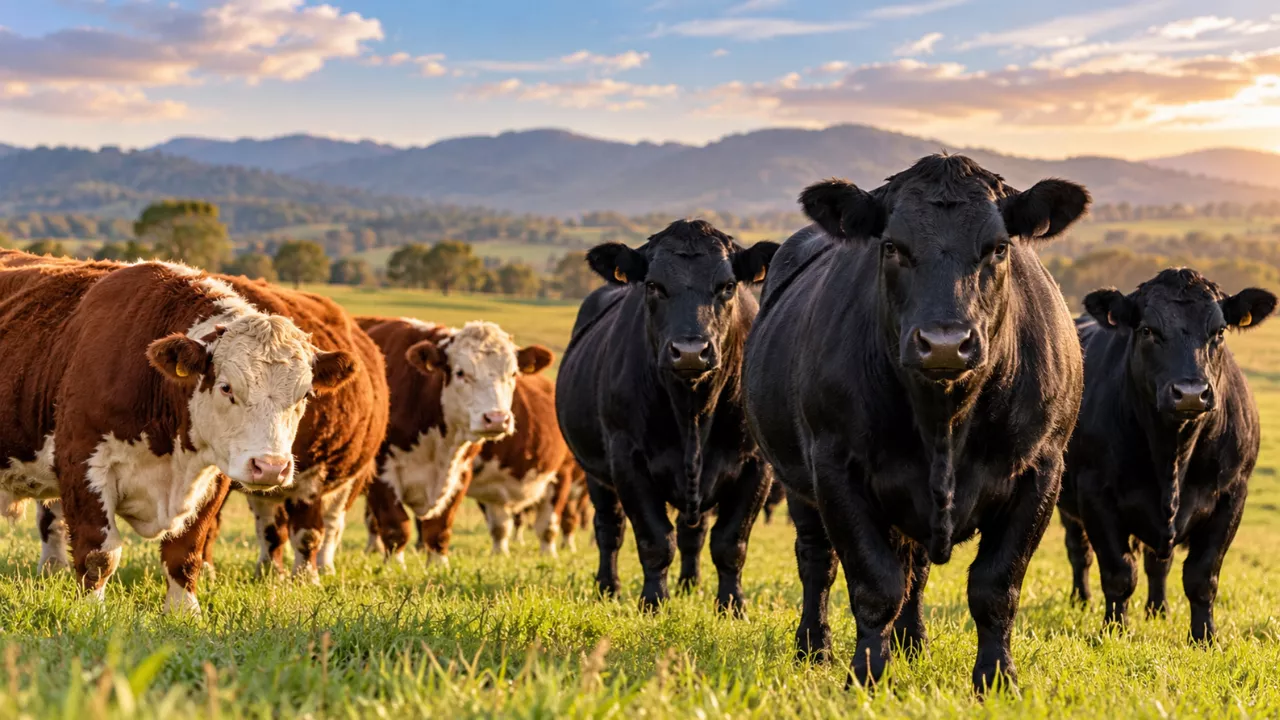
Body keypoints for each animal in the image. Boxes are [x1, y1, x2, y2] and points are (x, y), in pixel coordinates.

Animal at [0, 254, 354, 610]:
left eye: (305, 395)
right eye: (226, 387)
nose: (270, 467)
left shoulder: (212, 476)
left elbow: (186, 552)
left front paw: (184, 611)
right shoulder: (83, 463)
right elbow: (98, 553)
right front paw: (92, 610)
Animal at [359, 317, 552, 565]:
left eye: (513, 374)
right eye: (460, 372)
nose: (497, 419)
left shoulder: (460, 471)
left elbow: (439, 528)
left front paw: (438, 566)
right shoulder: (379, 471)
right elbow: (396, 527)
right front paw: (394, 566)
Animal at [555, 219, 778, 614]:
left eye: (728, 286)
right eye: (653, 285)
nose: (690, 351)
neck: (693, 411)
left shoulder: (755, 463)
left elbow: (730, 543)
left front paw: (732, 606)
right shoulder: (626, 459)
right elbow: (655, 540)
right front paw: (653, 602)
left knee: (694, 533)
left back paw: (691, 585)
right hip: (594, 471)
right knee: (609, 529)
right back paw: (608, 587)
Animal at [743, 155, 1089, 692]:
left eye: (999, 247)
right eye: (891, 247)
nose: (945, 344)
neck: (943, 420)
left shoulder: (1041, 469)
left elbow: (995, 586)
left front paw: (996, 678)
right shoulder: (835, 467)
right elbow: (874, 584)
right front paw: (866, 675)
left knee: (916, 567)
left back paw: (913, 642)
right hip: (797, 482)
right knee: (817, 563)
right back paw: (814, 647)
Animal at [1060, 269, 1274, 643]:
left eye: (1219, 331)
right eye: (1147, 330)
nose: (1190, 392)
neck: (1173, 454)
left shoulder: (1232, 495)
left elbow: (1201, 576)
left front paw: (1204, 638)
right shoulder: (1095, 494)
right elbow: (1119, 572)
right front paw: (1115, 630)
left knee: (1157, 563)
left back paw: (1158, 610)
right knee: (1079, 552)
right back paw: (1081, 600)